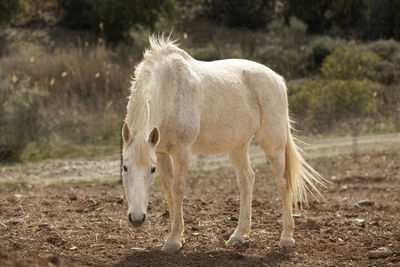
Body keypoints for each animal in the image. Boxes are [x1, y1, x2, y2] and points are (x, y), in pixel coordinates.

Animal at [119, 35, 324, 253]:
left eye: (151, 170)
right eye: (125, 167)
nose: (137, 219)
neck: (168, 89)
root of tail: (277, 79)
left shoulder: (182, 151)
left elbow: (178, 189)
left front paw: (174, 240)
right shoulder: (161, 151)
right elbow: (169, 191)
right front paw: (177, 237)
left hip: (273, 143)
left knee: (283, 182)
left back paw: (286, 237)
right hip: (238, 146)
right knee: (246, 180)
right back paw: (239, 235)